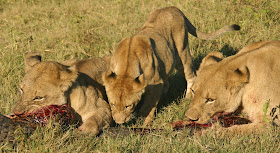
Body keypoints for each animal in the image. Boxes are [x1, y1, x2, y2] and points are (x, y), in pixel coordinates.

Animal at [103, 5, 241, 125]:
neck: (126, 67)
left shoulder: (155, 84)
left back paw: (188, 96)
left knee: (191, 74)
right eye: (113, 104)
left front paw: (145, 122)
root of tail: (173, 8)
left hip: (182, 52)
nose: (119, 122)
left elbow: (149, 105)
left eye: (128, 106)